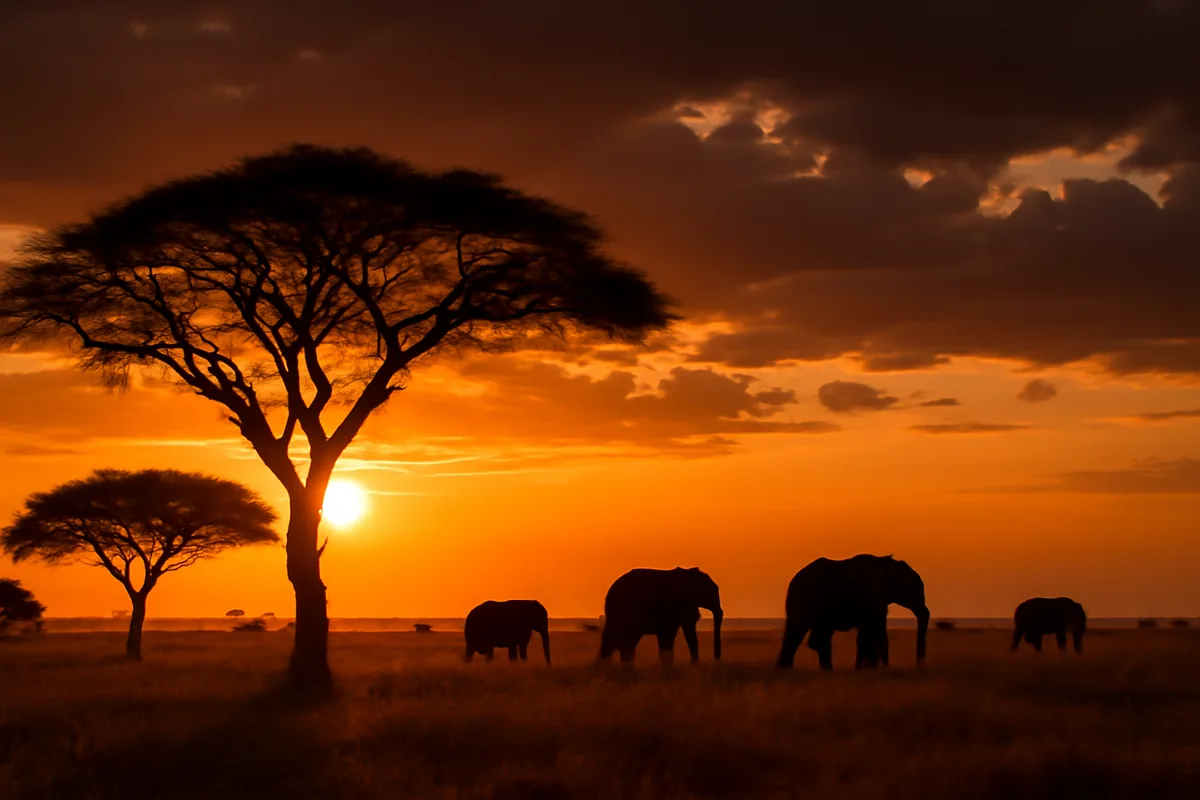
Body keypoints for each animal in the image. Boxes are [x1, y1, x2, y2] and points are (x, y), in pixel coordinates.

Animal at [776, 554, 930, 670]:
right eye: (915, 589)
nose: (919, 663)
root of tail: (793, 581)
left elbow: (865, 635)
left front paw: (864, 668)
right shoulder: (874, 597)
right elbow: (875, 630)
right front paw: (872, 667)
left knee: (803, 635)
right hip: (812, 600)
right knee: (805, 634)